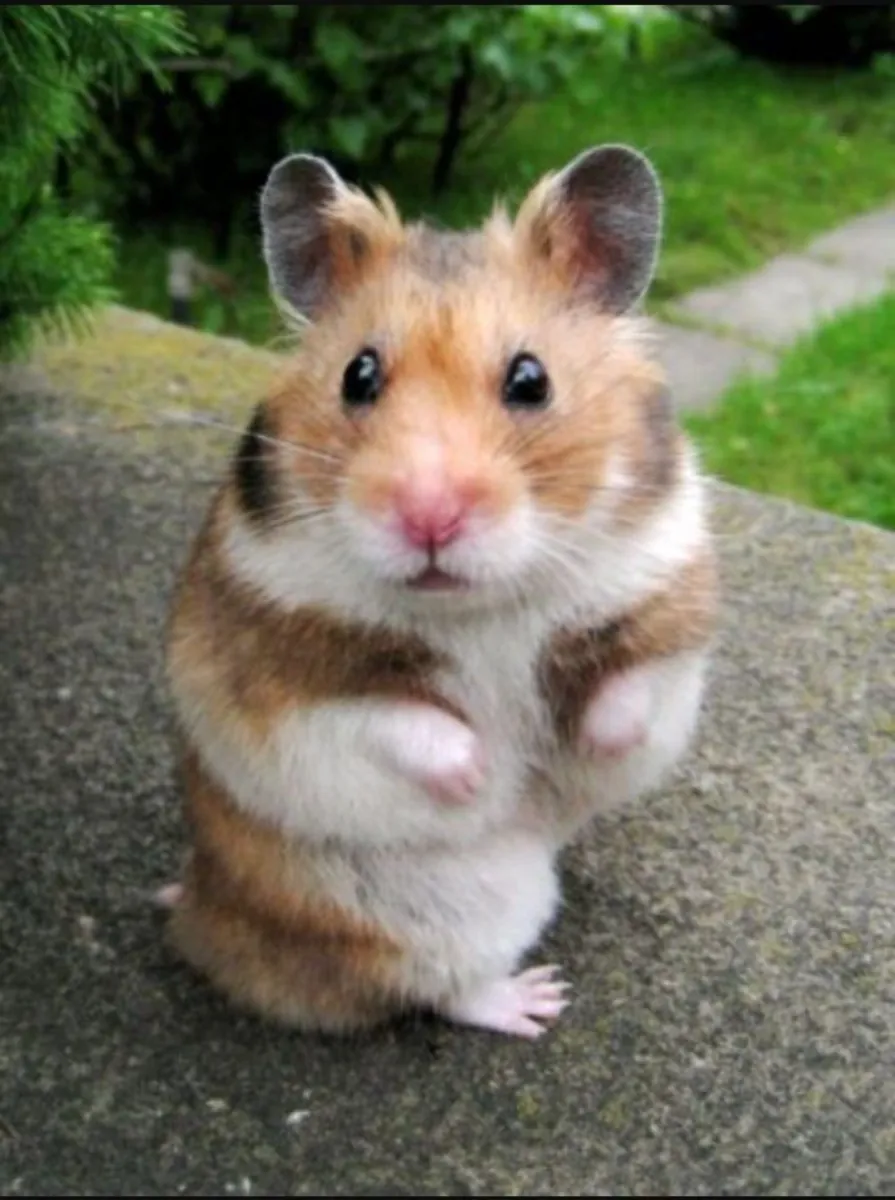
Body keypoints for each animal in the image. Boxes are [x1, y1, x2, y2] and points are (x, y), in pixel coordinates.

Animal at [160, 144, 718, 1039]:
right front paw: (487, 777)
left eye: (530, 379)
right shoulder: (276, 677)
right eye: (357, 374)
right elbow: (401, 722)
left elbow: (629, 695)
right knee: (437, 986)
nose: (428, 517)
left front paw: (574, 757)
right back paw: (535, 1002)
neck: (476, 607)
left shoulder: (668, 606)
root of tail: (202, 918)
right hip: (427, 912)